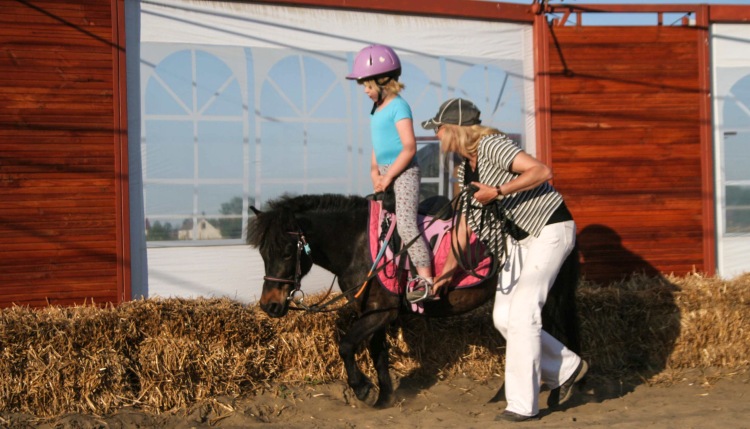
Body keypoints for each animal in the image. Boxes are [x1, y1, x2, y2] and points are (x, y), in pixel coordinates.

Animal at [248, 193, 580, 408]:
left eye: (287, 252)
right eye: (263, 253)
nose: (269, 305)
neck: (361, 244)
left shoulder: (382, 312)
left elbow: (347, 345)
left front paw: (362, 389)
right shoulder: (373, 310)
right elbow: (377, 352)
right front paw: (384, 398)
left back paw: (557, 392)